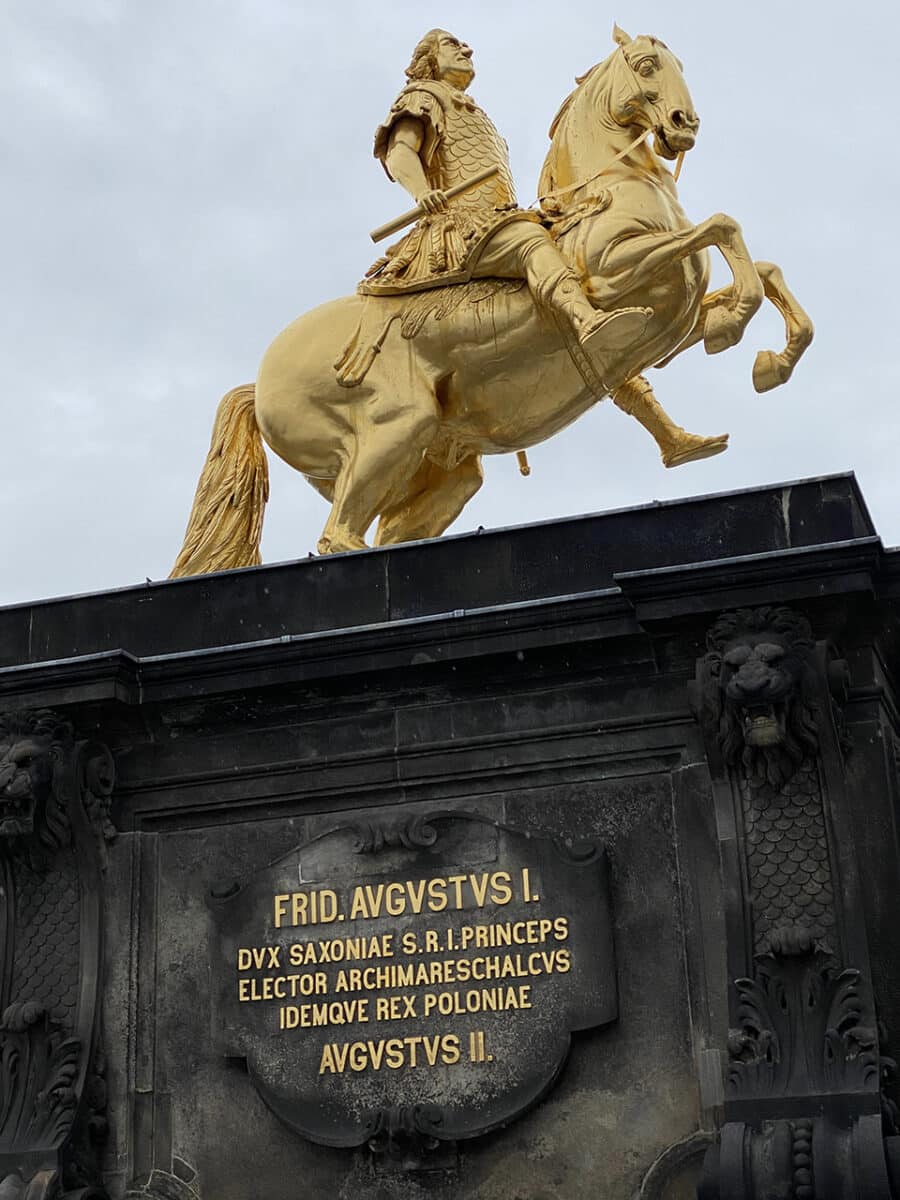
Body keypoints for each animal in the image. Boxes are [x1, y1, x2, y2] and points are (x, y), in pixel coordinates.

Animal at [172, 25, 816, 573]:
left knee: (381, 531)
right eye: (646, 65)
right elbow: (723, 227)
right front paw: (734, 328)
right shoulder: (616, 275)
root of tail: (260, 383)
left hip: (437, 472)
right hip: (393, 431)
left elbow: (763, 269)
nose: (685, 123)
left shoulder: (673, 316)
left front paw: (770, 361)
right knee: (338, 537)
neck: (604, 193)